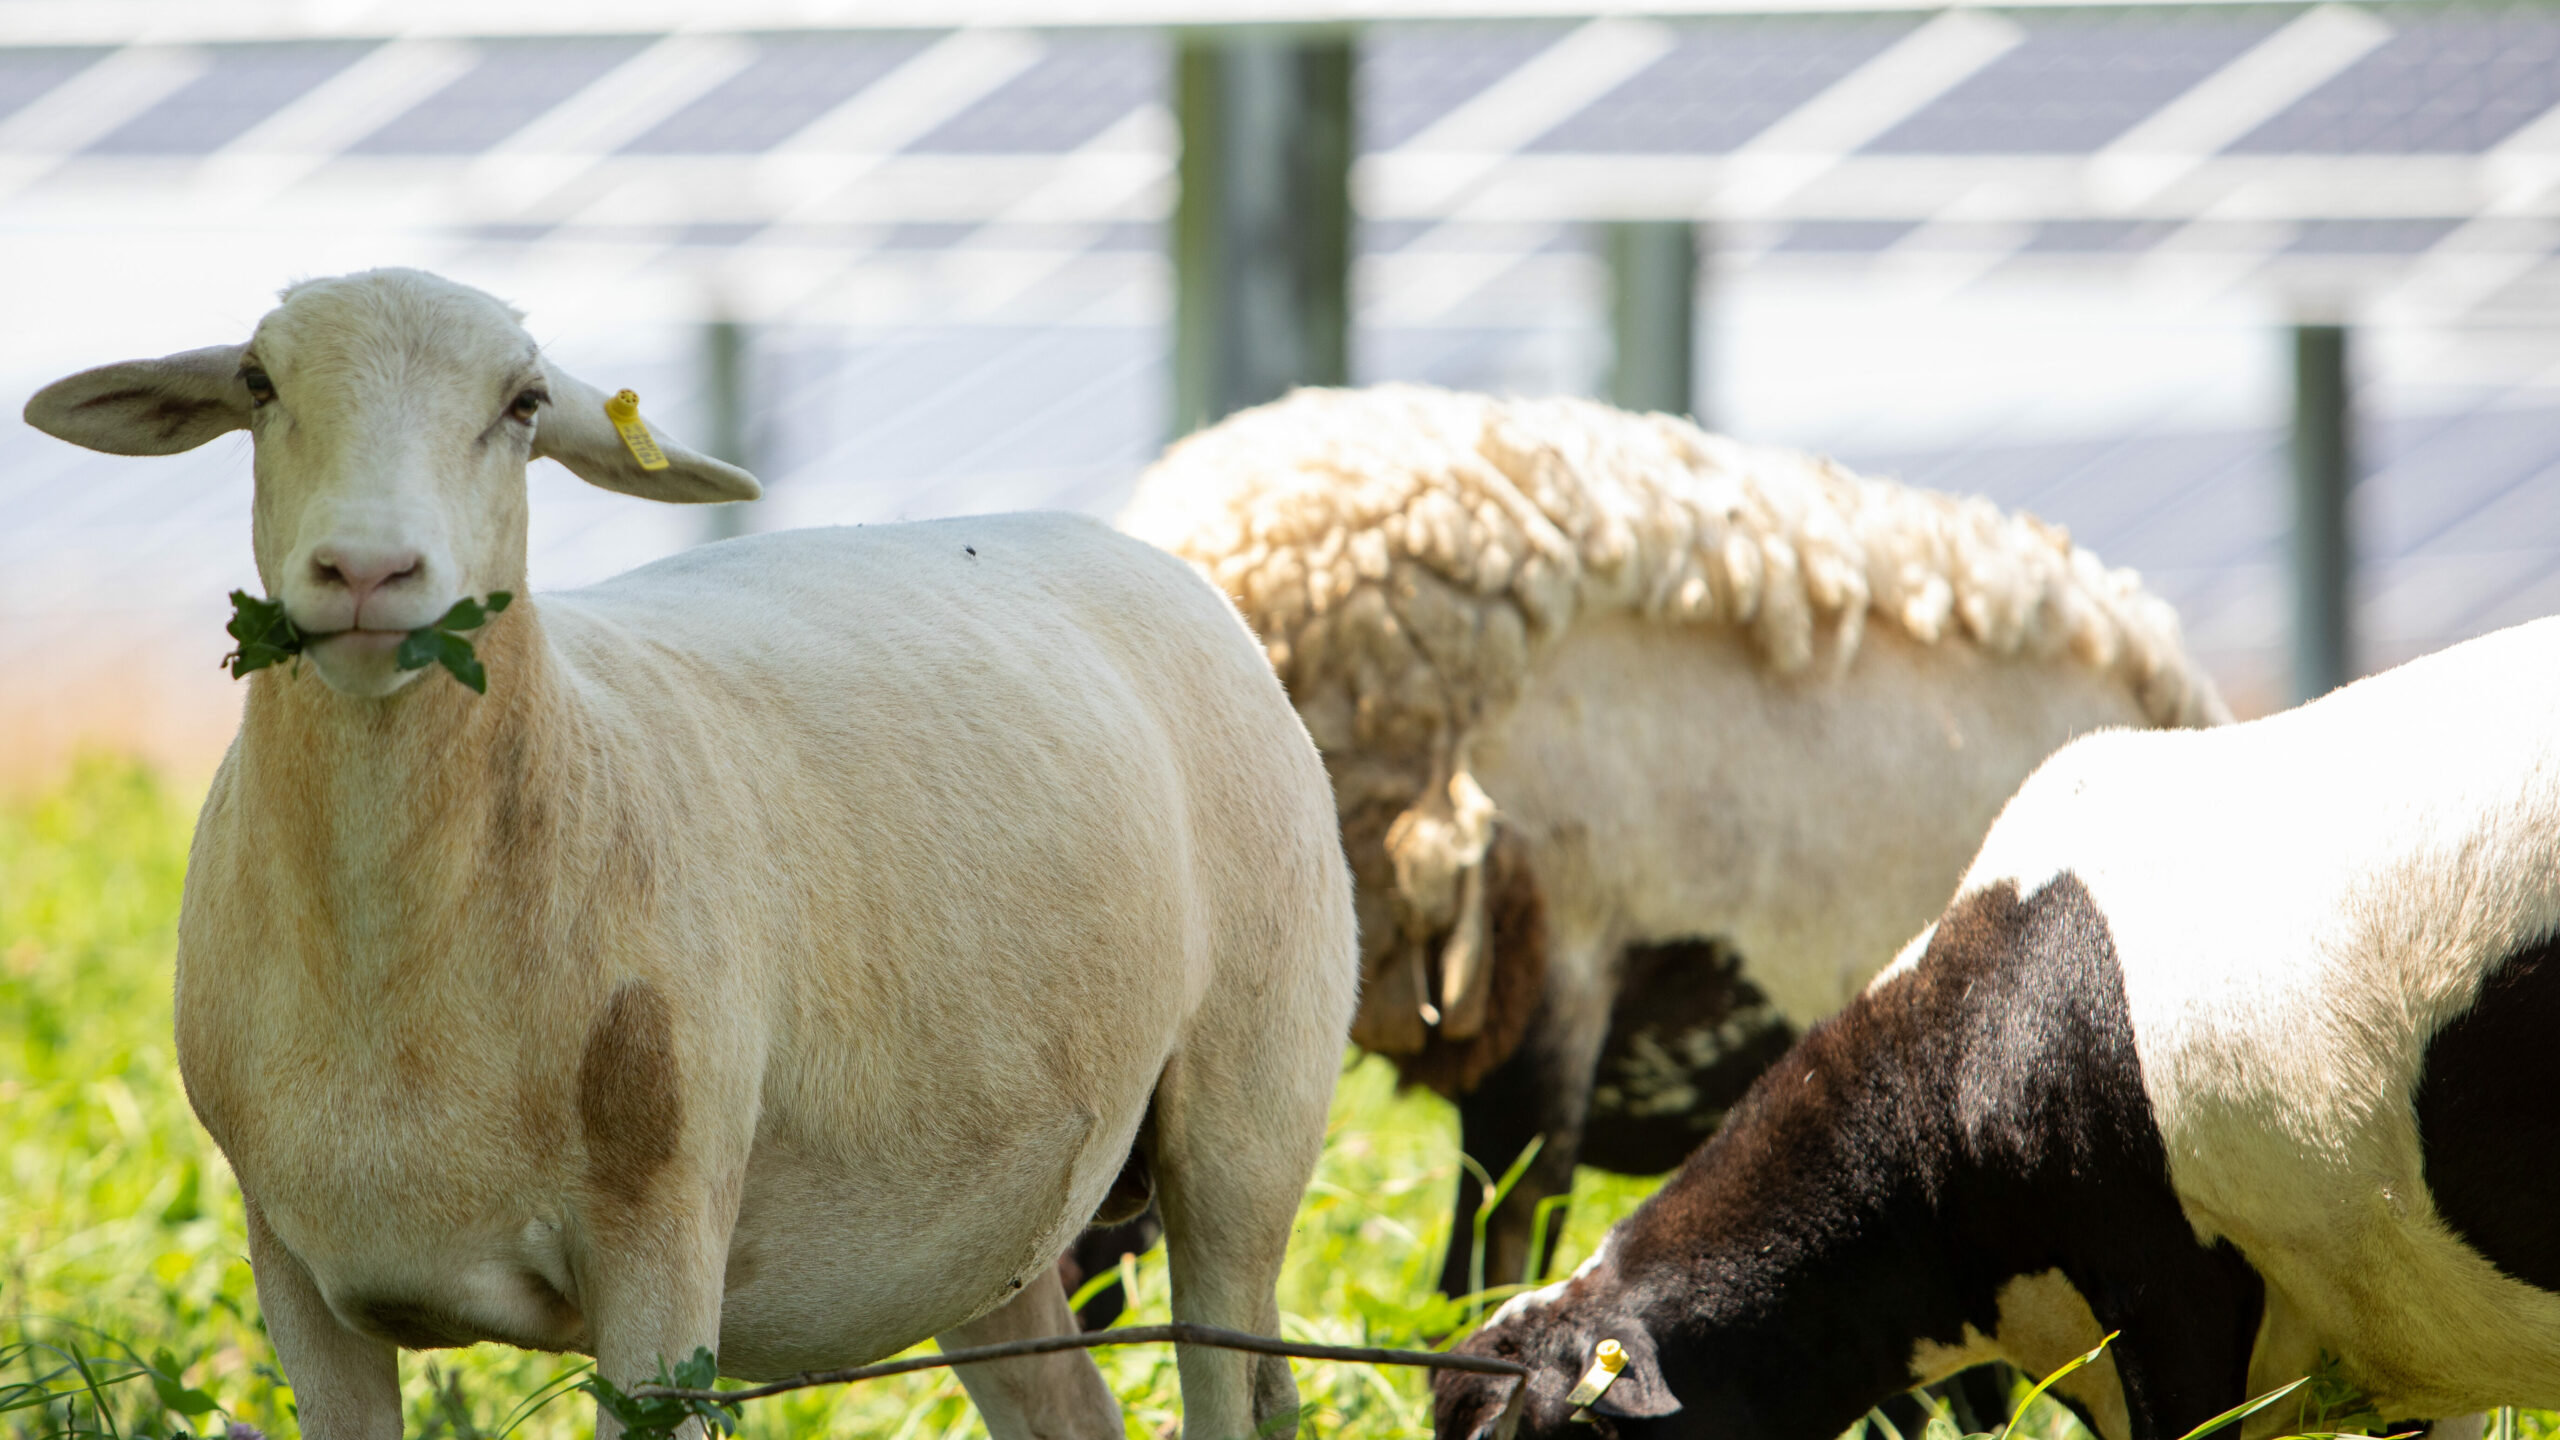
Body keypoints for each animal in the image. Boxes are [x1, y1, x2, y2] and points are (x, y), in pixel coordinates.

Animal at [22, 268, 1359, 1440]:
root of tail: (1139, 545)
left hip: (1250, 1116)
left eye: (522, 403)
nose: (366, 571)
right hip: (999, 1206)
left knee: (1235, 1375)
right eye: (258, 381)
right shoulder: (297, 1276)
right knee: (1069, 1403)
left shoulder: (663, 1250)